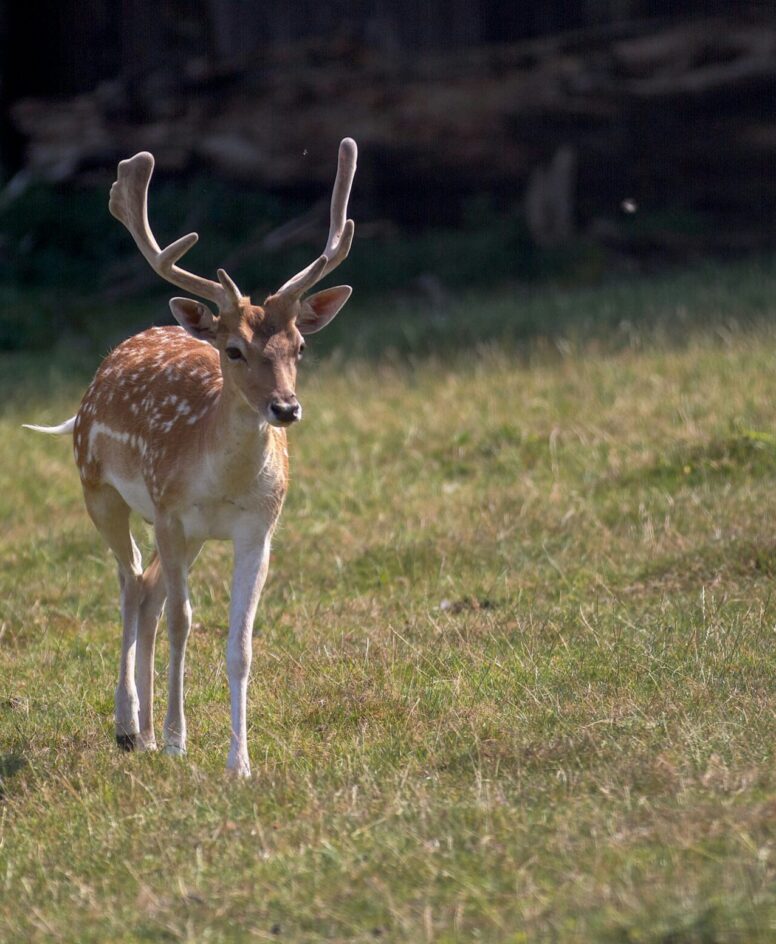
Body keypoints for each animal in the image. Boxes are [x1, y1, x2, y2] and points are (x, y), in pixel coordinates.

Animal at [24, 138, 358, 777]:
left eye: (300, 346)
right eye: (234, 349)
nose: (285, 408)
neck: (224, 483)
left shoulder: (259, 527)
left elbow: (240, 642)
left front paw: (239, 763)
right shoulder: (172, 512)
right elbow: (184, 622)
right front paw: (182, 741)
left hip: (181, 529)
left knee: (150, 591)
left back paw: (148, 733)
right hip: (99, 489)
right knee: (132, 584)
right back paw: (130, 726)